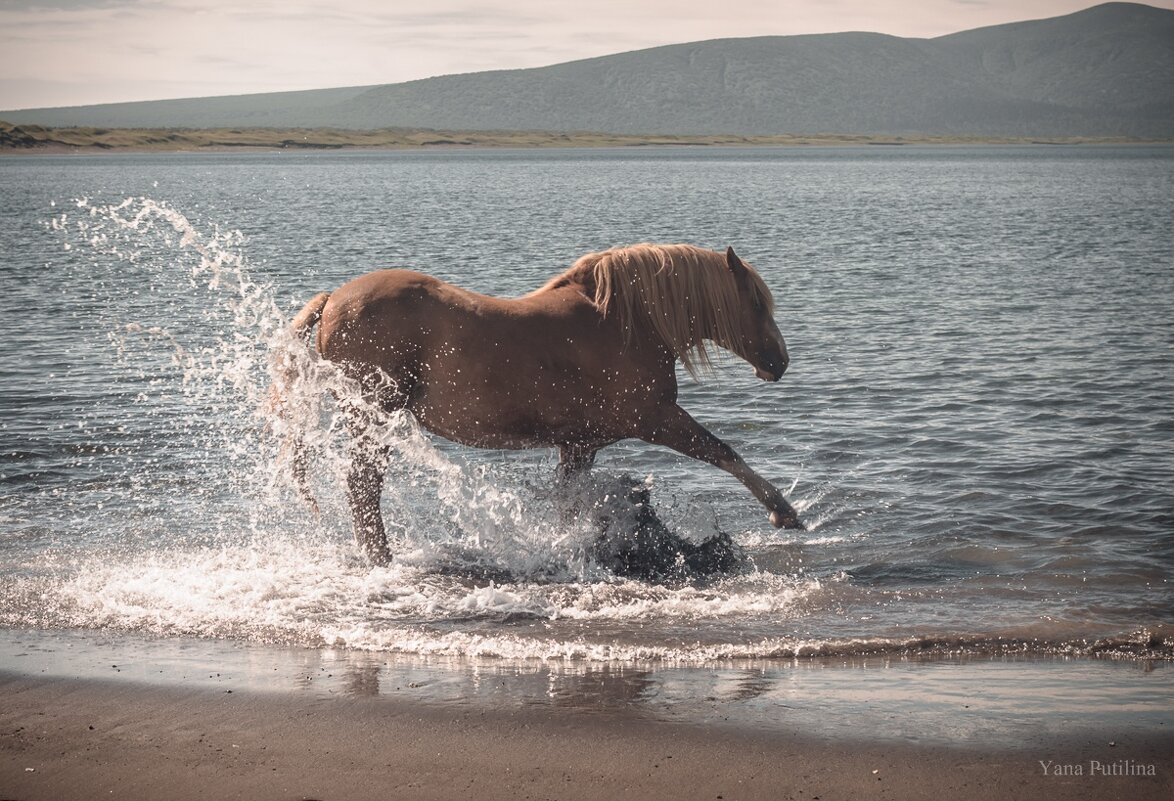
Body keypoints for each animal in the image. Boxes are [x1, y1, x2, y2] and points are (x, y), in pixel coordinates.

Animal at [279, 243, 803, 561]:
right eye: (757, 303)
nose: (779, 362)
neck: (627, 324)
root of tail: (332, 301)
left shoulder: (579, 445)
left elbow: (568, 504)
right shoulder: (657, 419)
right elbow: (723, 453)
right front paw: (783, 510)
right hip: (374, 416)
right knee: (363, 488)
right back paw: (382, 559)